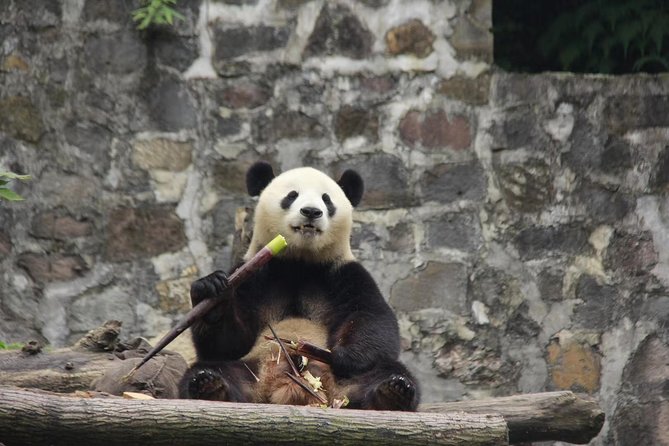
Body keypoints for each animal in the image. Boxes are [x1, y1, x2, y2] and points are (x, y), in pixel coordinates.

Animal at [179, 161, 419, 411]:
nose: (311, 212)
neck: (300, 262)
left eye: (327, 199)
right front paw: (211, 291)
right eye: (292, 195)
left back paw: (392, 392)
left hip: (347, 382)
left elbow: (373, 321)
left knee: (385, 372)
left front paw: (342, 355)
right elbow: (227, 345)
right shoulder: (252, 276)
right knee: (216, 369)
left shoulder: (344, 274)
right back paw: (209, 385)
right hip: (252, 366)